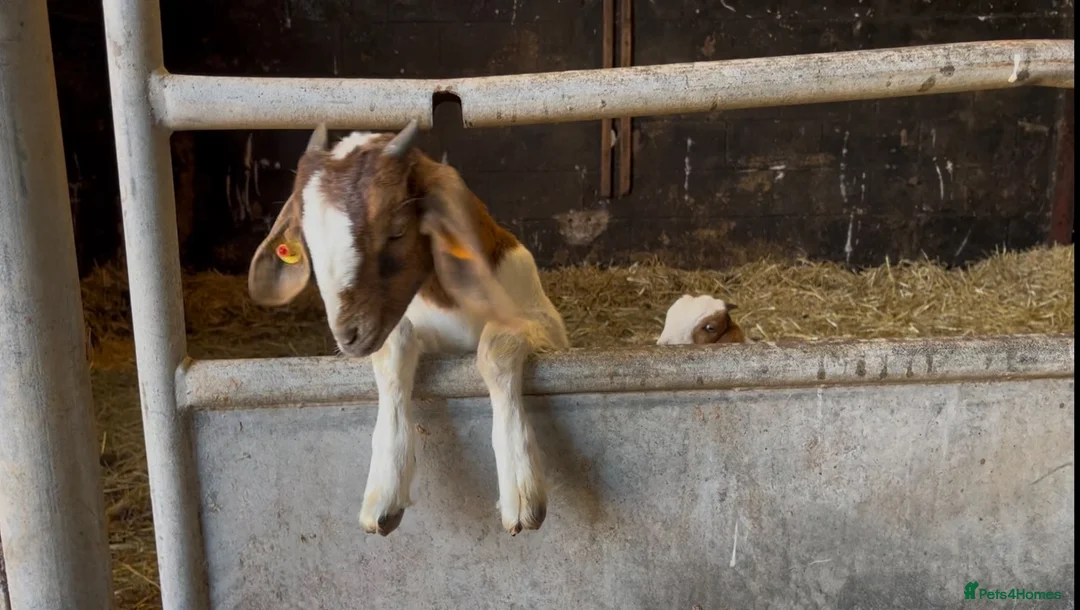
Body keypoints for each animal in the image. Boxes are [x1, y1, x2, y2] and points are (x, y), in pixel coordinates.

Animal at [247, 121, 569, 537]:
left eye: (397, 230)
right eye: (307, 239)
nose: (348, 335)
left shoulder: (544, 325)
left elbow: (495, 345)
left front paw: (521, 487)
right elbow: (395, 343)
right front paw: (384, 490)